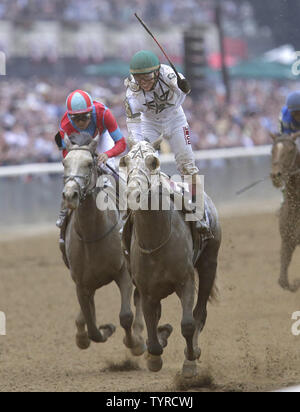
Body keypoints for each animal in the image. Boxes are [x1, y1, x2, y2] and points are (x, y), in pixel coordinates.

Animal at [61, 133, 145, 354]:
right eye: (64, 163)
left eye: (89, 163)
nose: (70, 195)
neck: (92, 235)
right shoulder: (81, 283)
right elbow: (91, 326)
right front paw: (102, 330)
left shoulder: (124, 273)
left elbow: (125, 316)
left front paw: (135, 343)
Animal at [119, 138, 220, 376]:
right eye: (125, 161)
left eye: (153, 162)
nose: (133, 193)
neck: (156, 239)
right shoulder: (147, 290)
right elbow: (151, 324)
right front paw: (154, 354)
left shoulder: (185, 281)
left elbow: (188, 323)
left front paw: (190, 362)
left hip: (209, 263)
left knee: (200, 313)